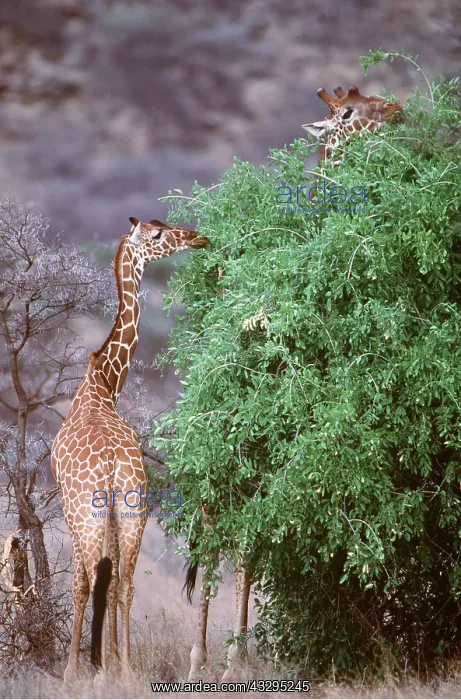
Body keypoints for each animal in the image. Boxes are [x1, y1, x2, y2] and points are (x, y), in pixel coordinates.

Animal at [51, 217, 209, 682]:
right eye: (158, 234)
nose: (197, 236)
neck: (103, 383)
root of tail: (109, 465)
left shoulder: (70, 507)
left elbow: (82, 583)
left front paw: (78, 669)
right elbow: (113, 580)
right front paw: (107, 662)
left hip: (88, 515)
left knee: (90, 580)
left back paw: (88, 667)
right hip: (134, 510)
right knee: (124, 583)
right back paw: (124, 668)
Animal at [185, 84, 404, 682]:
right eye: (349, 111)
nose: (400, 111)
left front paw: (240, 658)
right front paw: (230, 661)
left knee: (246, 536)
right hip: (225, 446)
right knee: (218, 534)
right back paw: (200, 659)